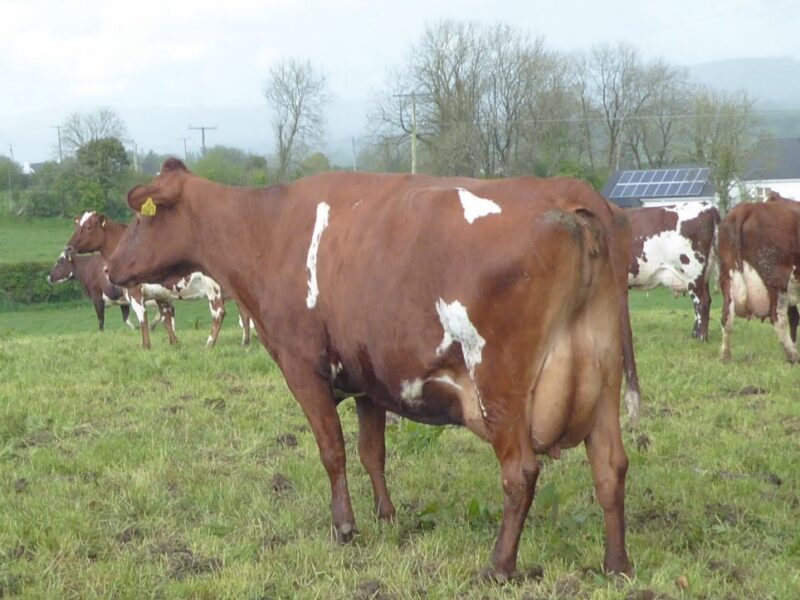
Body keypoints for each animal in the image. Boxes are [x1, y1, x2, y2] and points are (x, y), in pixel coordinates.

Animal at [65, 212, 232, 349]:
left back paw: (209, 344)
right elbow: (165, 319)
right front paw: (174, 343)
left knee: (218, 313)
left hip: (213, 288)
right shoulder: (160, 294)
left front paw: (146, 346)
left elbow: (142, 319)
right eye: (77, 225)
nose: (68, 247)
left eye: (88, 227)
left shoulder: (135, 292)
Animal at [105, 159, 637, 580]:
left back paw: (498, 567)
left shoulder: (303, 368)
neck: (267, 230)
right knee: (611, 466)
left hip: (500, 381)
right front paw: (387, 517)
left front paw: (345, 527)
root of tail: (569, 191)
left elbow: (333, 451)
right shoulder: (367, 381)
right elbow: (371, 452)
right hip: (604, 377)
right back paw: (616, 565)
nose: (110, 272)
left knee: (520, 472)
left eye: (139, 220)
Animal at [626, 202, 720, 341]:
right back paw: (695, 335)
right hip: (704, 275)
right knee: (706, 300)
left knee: (701, 302)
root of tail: (708, 206)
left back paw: (701, 338)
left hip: (692, 272)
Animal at [718, 196, 800, 363]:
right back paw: (793, 355)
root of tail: (747, 207)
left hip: (727, 276)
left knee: (726, 317)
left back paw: (726, 356)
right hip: (777, 278)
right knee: (778, 318)